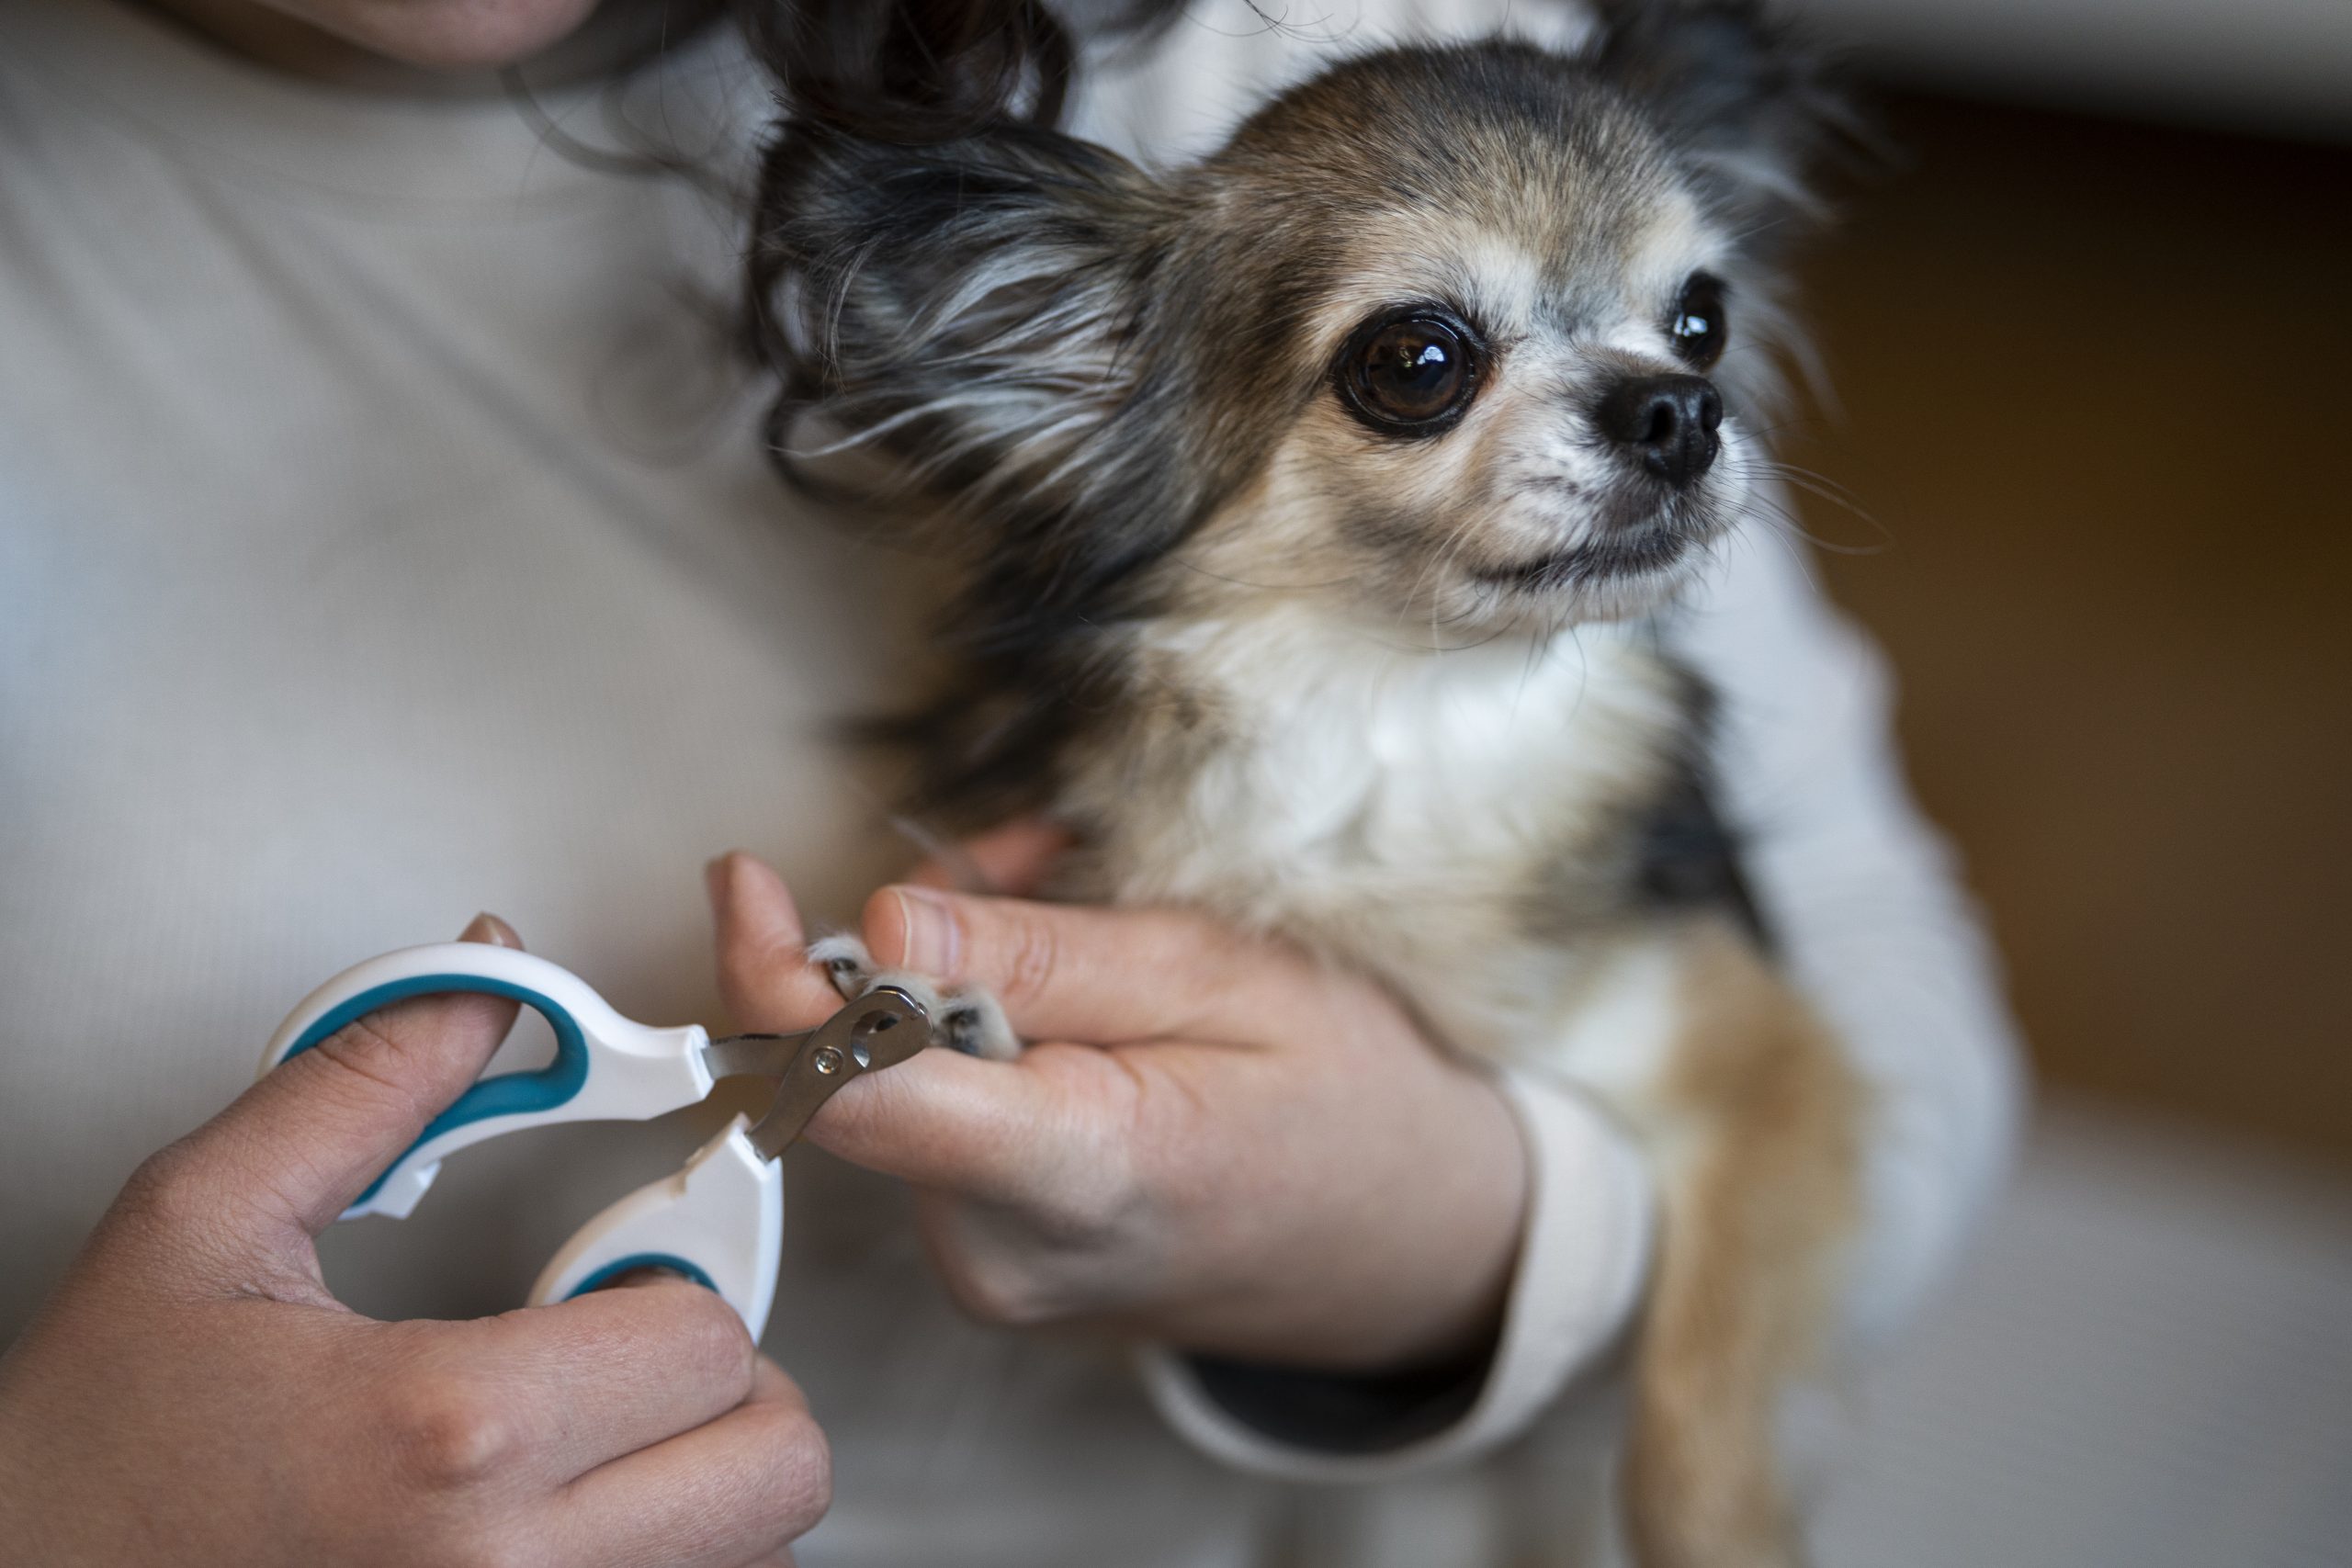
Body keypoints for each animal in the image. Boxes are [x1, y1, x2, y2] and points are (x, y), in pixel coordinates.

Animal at [748, 6, 1853, 1561]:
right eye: (1417, 360)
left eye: (1705, 316)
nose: (1681, 408)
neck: (1398, 717)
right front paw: (958, 1010)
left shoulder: (1769, 1066)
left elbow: (1699, 1408)